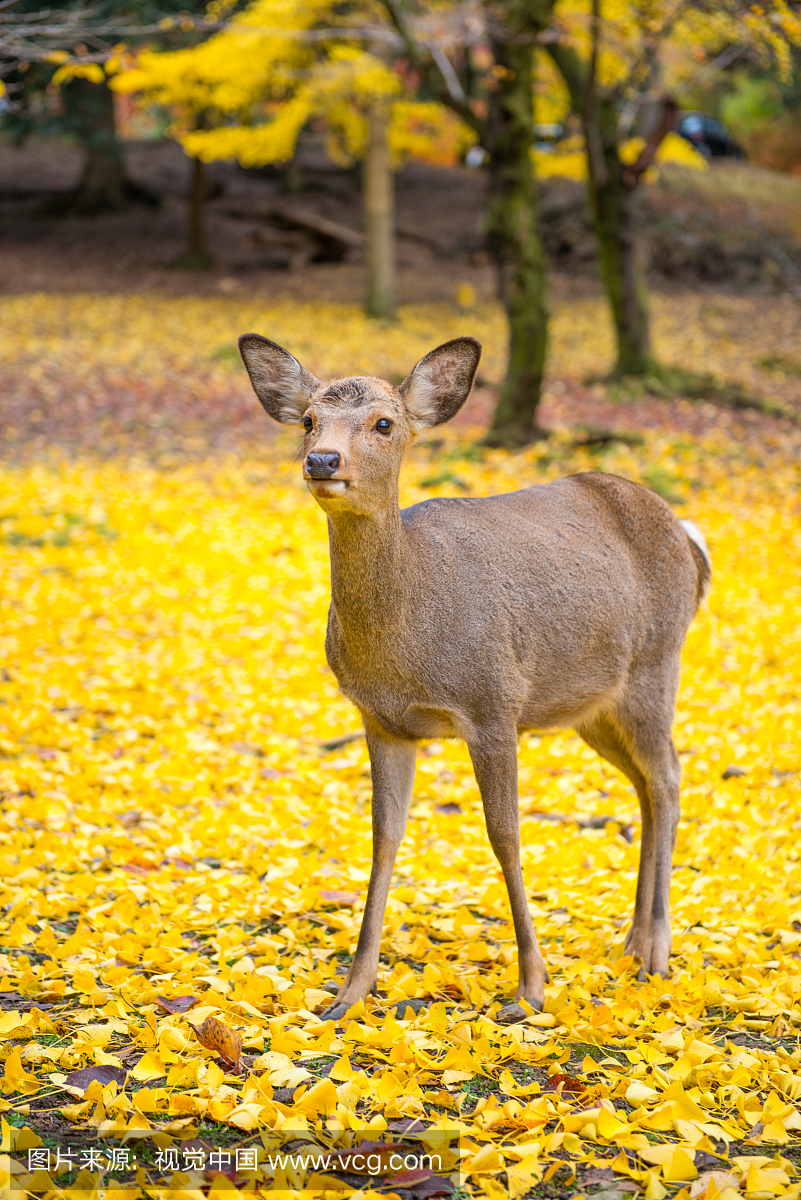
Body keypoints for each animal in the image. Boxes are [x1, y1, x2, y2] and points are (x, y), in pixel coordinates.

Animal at [236, 331, 705, 1022]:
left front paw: (531, 988)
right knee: (646, 785)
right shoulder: (380, 719)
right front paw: (350, 992)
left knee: (670, 776)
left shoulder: (493, 702)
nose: (321, 460)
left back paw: (656, 954)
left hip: (656, 663)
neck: (405, 647)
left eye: (385, 423)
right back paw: (631, 942)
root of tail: (692, 542)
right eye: (308, 420)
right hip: (591, 705)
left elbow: (505, 834)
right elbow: (383, 837)